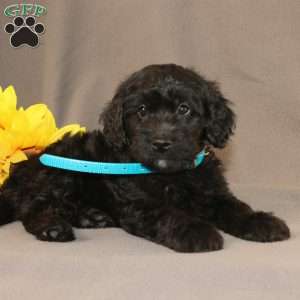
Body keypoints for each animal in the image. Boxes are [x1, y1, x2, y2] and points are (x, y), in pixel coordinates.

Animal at [0, 64, 290, 252]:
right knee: (34, 208)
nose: (161, 143)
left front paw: (261, 222)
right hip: (59, 174)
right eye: (141, 111)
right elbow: (168, 214)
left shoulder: (213, 191)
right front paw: (196, 231)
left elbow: (235, 207)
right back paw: (53, 228)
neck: (171, 175)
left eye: (184, 109)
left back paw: (91, 217)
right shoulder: (139, 203)